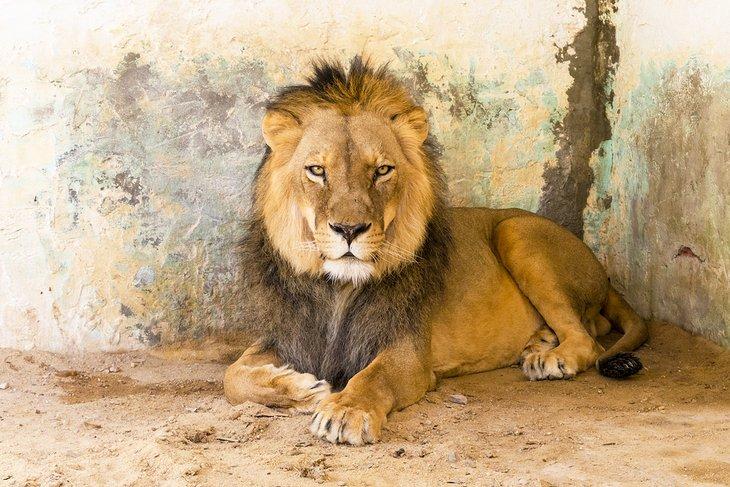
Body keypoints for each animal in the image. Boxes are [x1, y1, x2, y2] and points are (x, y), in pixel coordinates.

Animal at [223, 57, 649, 445]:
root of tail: (605, 272)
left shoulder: (408, 350)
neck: (338, 289)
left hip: (516, 232)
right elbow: (233, 375)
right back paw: (539, 341)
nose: (349, 230)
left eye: (382, 171)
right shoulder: (291, 334)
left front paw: (345, 411)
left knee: (590, 338)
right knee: (596, 325)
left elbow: (372, 377)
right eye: (316, 171)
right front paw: (302, 387)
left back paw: (550, 357)